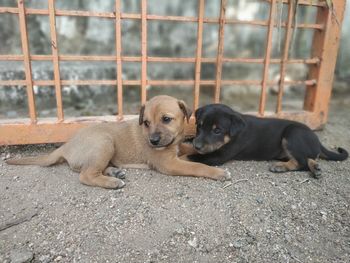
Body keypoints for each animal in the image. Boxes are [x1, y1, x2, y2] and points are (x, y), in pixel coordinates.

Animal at [7, 96, 230, 189]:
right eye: (146, 123)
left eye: (166, 119)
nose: (153, 141)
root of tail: (65, 146)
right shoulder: (168, 163)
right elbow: (196, 167)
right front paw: (217, 172)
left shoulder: (175, 147)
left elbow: (187, 148)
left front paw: (201, 150)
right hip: (104, 143)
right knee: (85, 175)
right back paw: (112, 181)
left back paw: (115, 172)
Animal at [189, 104, 348, 178]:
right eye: (199, 126)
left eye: (217, 131)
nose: (197, 146)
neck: (234, 134)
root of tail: (317, 140)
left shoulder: (220, 155)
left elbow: (191, 157)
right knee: (308, 158)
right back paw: (316, 169)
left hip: (292, 134)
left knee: (302, 162)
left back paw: (280, 167)